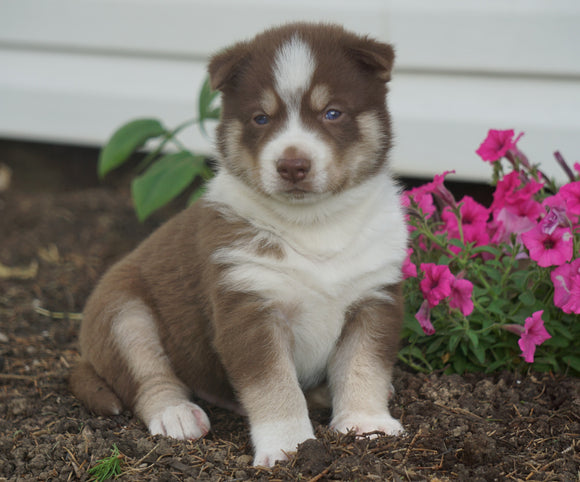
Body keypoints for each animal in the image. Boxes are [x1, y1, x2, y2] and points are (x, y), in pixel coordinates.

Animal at [70, 22, 408, 466]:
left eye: (332, 113)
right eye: (260, 118)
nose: (292, 165)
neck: (315, 224)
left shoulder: (374, 297)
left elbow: (363, 365)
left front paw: (367, 423)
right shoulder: (248, 306)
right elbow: (274, 386)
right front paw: (287, 447)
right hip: (121, 311)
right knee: (147, 374)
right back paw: (177, 415)